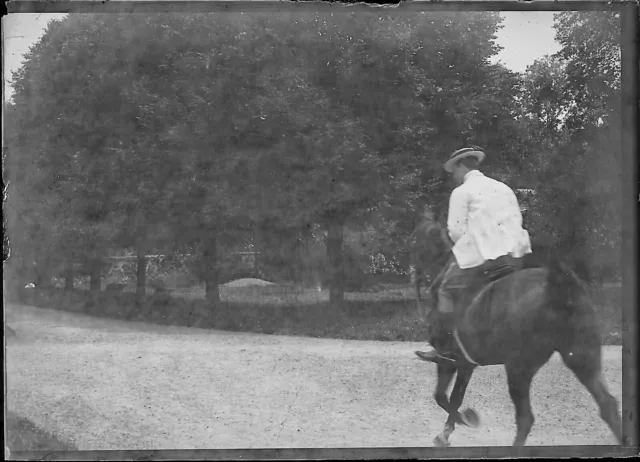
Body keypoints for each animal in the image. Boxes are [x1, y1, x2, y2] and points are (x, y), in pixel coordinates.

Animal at [408, 220, 624, 448]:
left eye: (416, 241)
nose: (413, 274)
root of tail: (560, 287)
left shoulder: (450, 360)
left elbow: (441, 396)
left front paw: (465, 419)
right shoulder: (466, 364)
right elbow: (455, 397)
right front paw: (449, 430)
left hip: (518, 369)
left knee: (525, 418)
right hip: (582, 357)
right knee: (607, 404)